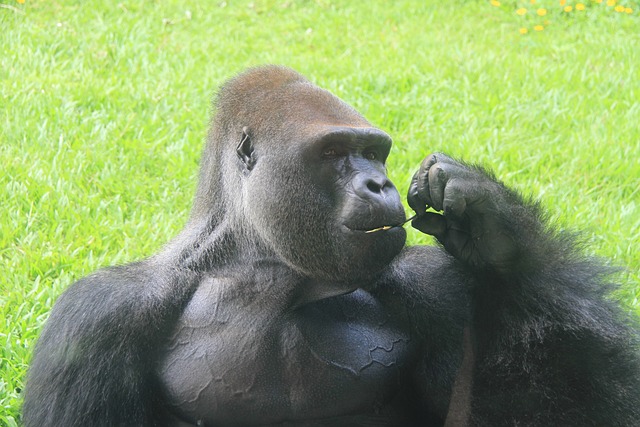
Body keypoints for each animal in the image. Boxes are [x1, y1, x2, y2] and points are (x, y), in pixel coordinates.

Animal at [22, 65, 640, 426]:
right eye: (335, 152)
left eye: (375, 152)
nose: (379, 184)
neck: (267, 267)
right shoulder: (98, 316)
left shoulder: (436, 290)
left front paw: (499, 237)